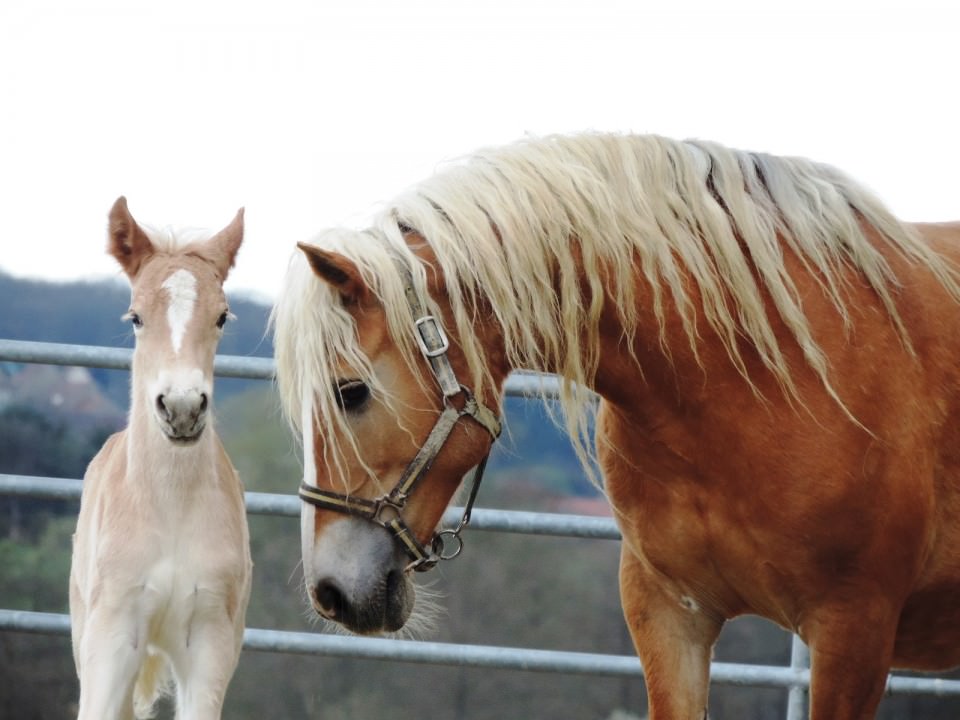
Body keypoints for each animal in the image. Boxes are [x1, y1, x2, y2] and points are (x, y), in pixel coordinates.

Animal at [70, 198, 253, 720]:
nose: (182, 408)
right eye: (135, 317)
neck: (170, 507)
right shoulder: (110, 640)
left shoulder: (209, 645)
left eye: (222, 316)